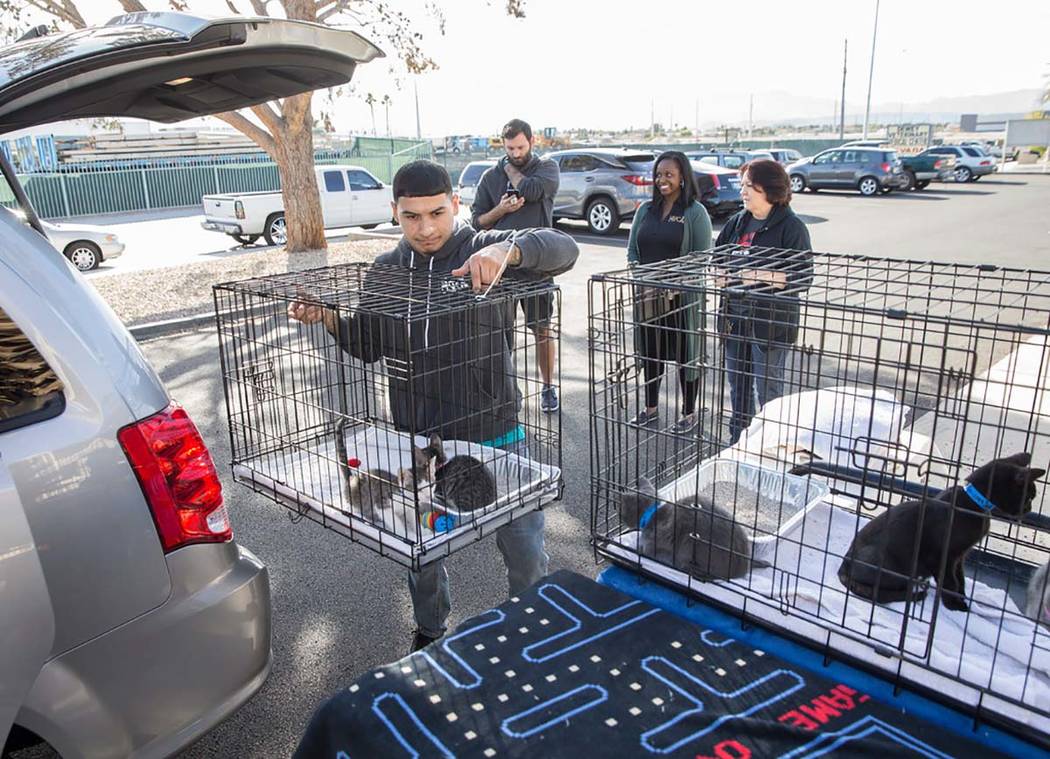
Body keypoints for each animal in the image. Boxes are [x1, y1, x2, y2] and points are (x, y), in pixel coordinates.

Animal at [613, 474, 755, 583]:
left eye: (620, 513)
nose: (620, 518)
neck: (654, 512)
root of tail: (742, 569)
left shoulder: (652, 543)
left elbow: (643, 549)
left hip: (688, 544)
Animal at [835, 451, 1041, 613]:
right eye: (1029, 497)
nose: (1029, 509)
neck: (973, 501)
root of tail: (844, 566)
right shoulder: (941, 556)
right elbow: (950, 582)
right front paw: (955, 605)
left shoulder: (959, 557)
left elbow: (960, 580)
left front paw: (962, 597)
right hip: (887, 562)